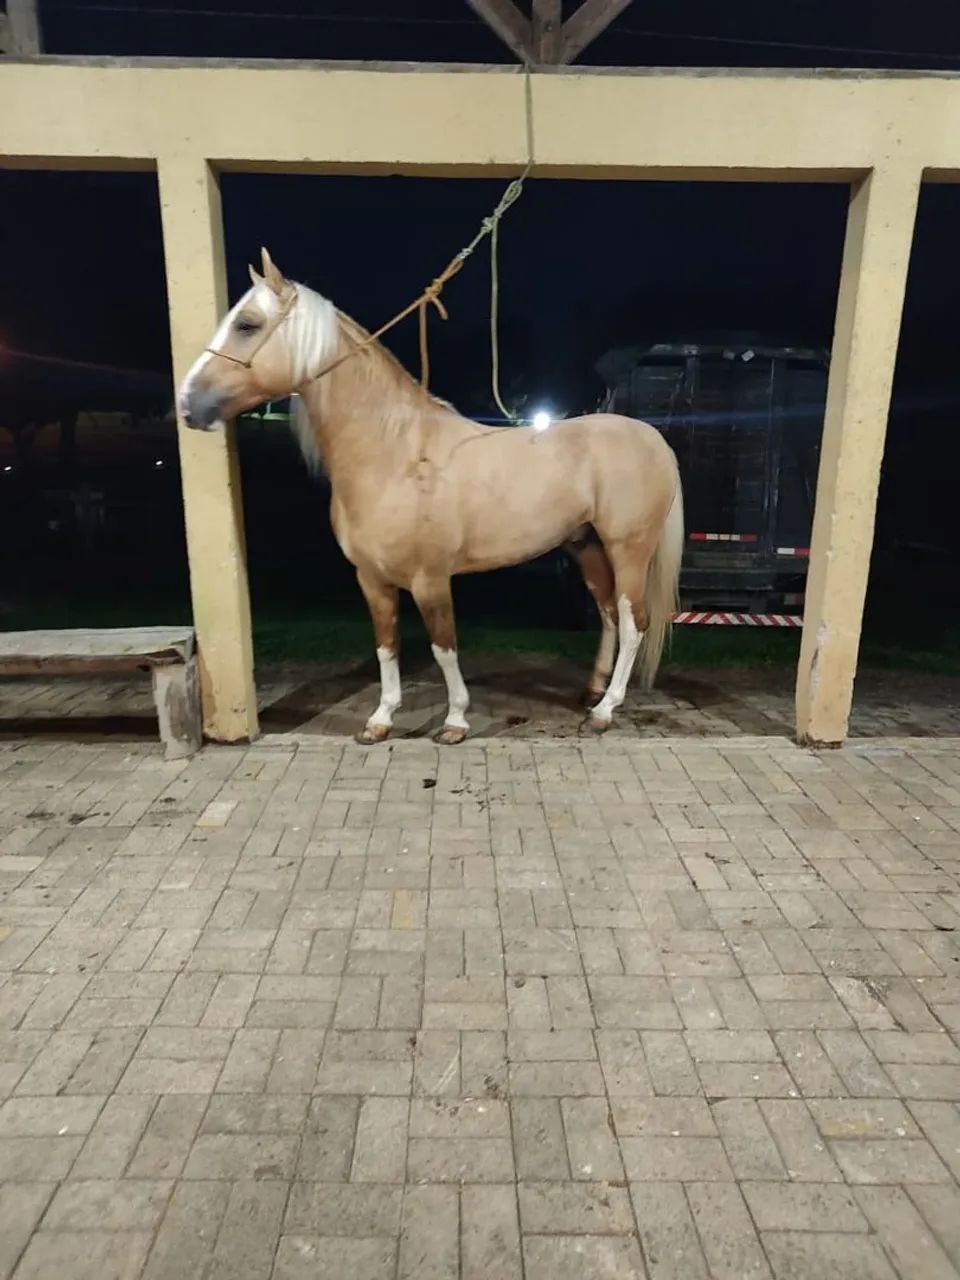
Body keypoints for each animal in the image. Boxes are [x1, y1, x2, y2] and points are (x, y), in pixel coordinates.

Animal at [179, 248, 684, 745]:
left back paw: (605, 710)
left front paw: (455, 721)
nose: (187, 404)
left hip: (628, 550)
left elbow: (444, 649)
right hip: (585, 546)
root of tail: (651, 439)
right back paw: (592, 692)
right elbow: (386, 646)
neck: (395, 454)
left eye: (247, 324)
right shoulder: (371, 579)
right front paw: (380, 719)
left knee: (633, 622)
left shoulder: (430, 580)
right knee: (608, 615)